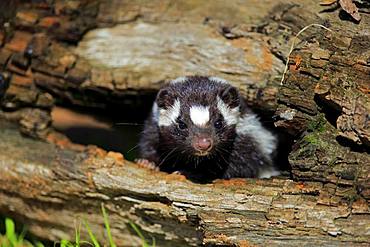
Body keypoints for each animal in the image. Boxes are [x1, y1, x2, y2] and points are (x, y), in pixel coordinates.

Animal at [138, 76, 278, 180]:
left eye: (219, 123)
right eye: (181, 124)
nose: (203, 144)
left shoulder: (249, 138)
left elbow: (239, 167)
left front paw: (188, 172)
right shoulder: (153, 126)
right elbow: (150, 142)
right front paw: (147, 163)